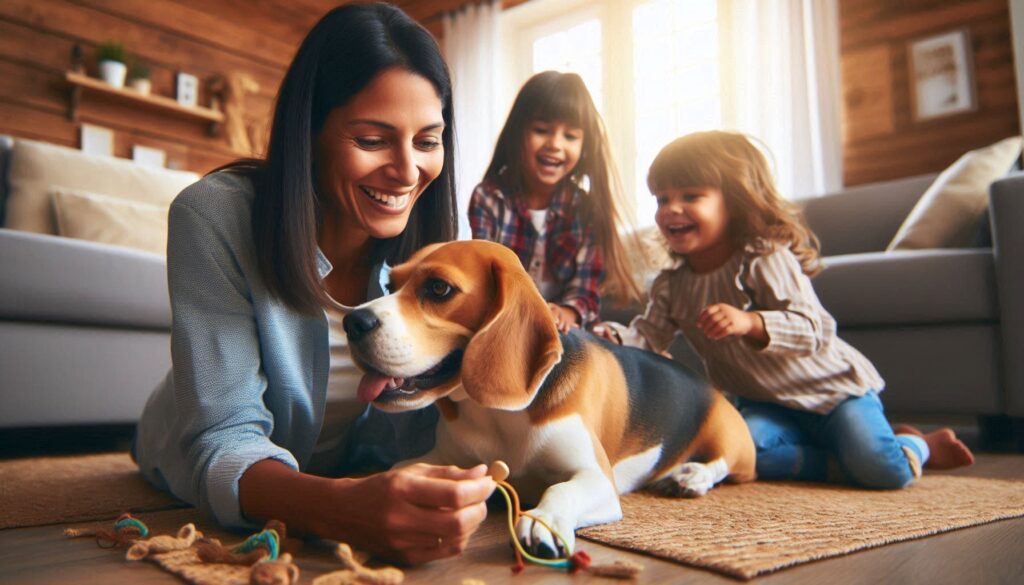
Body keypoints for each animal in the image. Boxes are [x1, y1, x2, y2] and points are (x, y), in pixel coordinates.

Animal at [342, 240, 753, 557]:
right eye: (390, 284)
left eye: (439, 289)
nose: (352, 322)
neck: (496, 415)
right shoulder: (446, 456)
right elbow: (399, 469)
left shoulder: (597, 478)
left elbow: (559, 488)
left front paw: (545, 521)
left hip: (730, 438)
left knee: (727, 466)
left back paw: (691, 476)